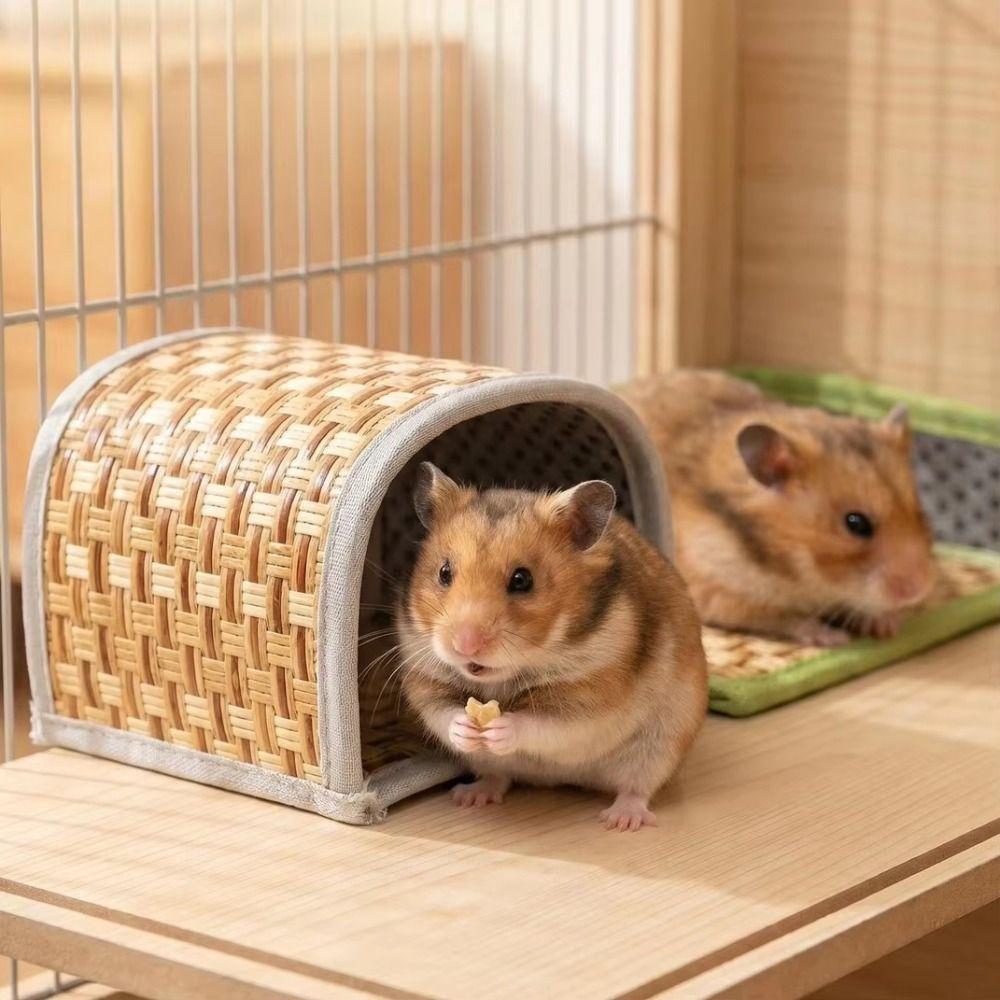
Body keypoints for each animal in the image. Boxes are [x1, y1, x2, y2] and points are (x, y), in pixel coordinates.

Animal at [397, 462, 707, 831]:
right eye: (444, 572)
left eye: (522, 580)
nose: (465, 645)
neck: (504, 678)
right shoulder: (425, 680)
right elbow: (443, 713)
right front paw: (467, 728)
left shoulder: (589, 701)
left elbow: (541, 724)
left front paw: (500, 727)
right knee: (498, 778)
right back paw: (470, 796)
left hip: (659, 747)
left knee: (637, 788)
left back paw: (620, 820)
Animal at [618, 371, 935, 646]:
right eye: (856, 523)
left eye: (921, 513)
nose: (919, 590)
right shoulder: (721, 591)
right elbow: (786, 618)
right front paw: (833, 638)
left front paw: (886, 627)